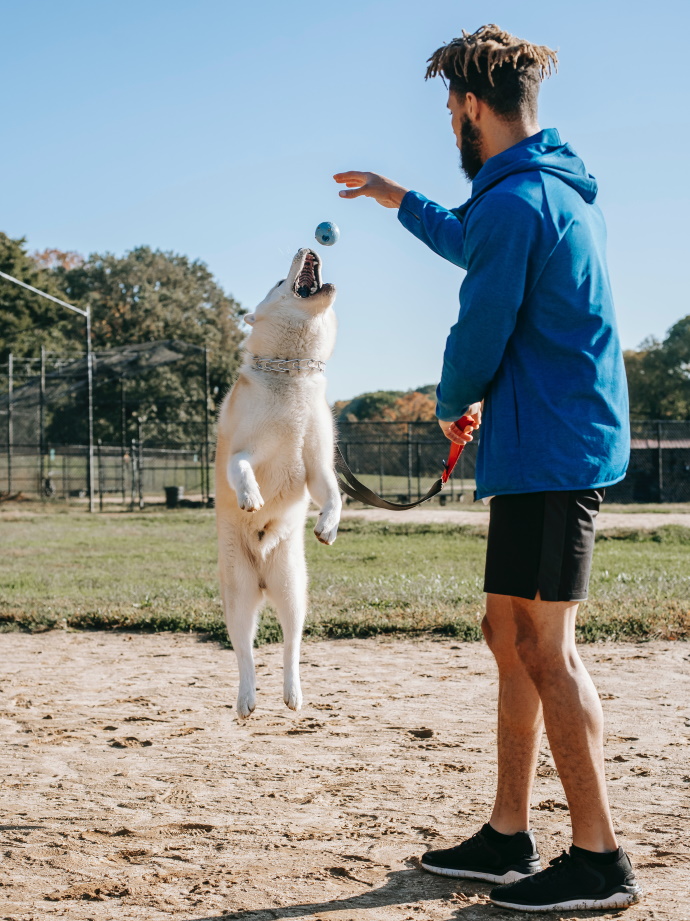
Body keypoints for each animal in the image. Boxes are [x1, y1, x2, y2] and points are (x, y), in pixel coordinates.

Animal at [215, 248, 342, 716]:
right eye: (276, 281)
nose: (307, 247)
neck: (293, 376)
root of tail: (264, 579)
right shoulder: (243, 451)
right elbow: (241, 469)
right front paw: (251, 496)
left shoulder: (318, 467)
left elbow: (334, 496)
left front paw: (327, 526)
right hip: (239, 597)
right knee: (244, 652)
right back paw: (247, 698)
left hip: (292, 594)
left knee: (291, 646)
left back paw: (292, 693)